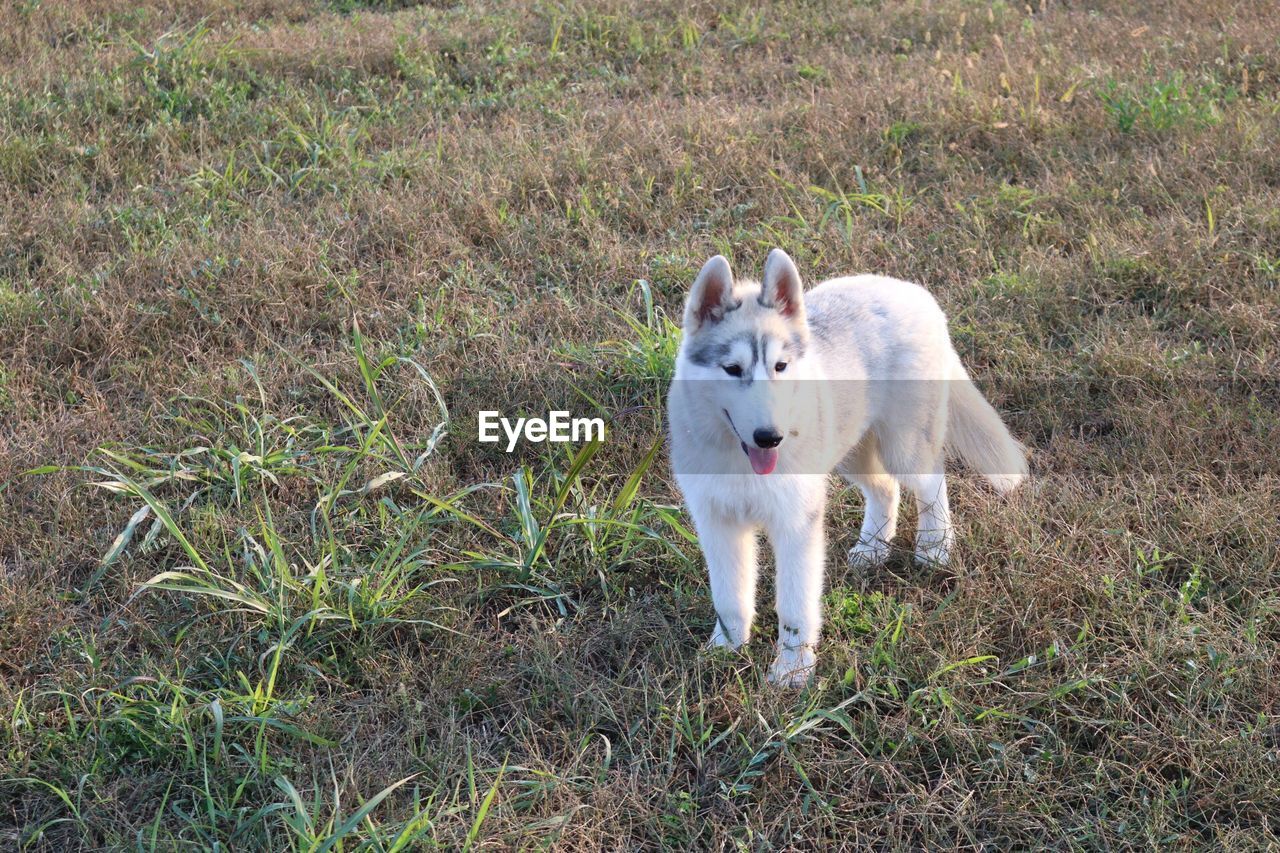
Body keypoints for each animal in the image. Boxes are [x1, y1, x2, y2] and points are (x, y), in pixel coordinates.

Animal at [665, 247, 1024, 686]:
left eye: (781, 366)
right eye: (732, 370)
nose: (771, 437)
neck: (740, 461)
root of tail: (913, 293)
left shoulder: (796, 522)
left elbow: (795, 605)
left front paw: (793, 671)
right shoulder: (717, 522)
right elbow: (729, 596)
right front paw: (725, 649)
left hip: (903, 445)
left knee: (931, 482)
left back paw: (934, 547)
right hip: (849, 446)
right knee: (885, 488)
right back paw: (873, 549)